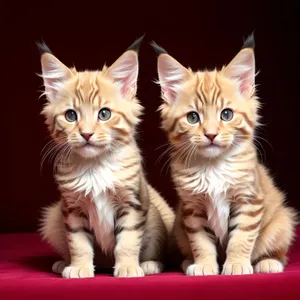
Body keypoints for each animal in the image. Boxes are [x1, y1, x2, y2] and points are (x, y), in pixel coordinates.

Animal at [38, 37, 175, 278]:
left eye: (104, 114)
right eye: (71, 115)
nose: (86, 134)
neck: (95, 166)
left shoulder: (132, 204)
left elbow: (127, 242)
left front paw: (128, 267)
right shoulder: (72, 208)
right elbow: (79, 243)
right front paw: (80, 267)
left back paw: (150, 264)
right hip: (53, 218)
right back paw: (64, 263)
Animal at [152, 34, 298, 276]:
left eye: (226, 114)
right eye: (193, 118)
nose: (211, 134)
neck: (213, 166)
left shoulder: (248, 201)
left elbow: (241, 239)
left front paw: (237, 264)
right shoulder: (193, 209)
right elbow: (201, 242)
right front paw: (204, 265)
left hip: (282, 221)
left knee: (279, 251)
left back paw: (269, 262)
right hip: (179, 229)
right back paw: (187, 262)